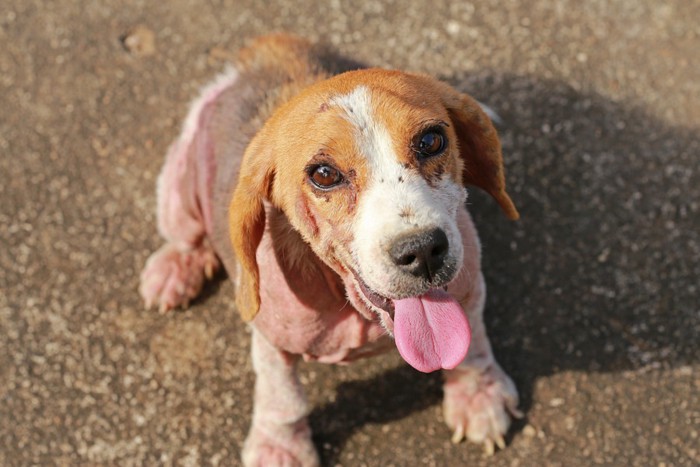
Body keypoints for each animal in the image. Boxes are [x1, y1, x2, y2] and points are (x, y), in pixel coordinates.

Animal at [139, 34, 520, 466]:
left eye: (431, 140)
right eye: (324, 175)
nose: (423, 250)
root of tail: (266, 46)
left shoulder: (470, 284)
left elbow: (471, 342)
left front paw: (477, 395)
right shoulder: (271, 338)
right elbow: (282, 398)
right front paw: (278, 447)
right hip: (177, 186)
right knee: (186, 234)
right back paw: (176, 267)